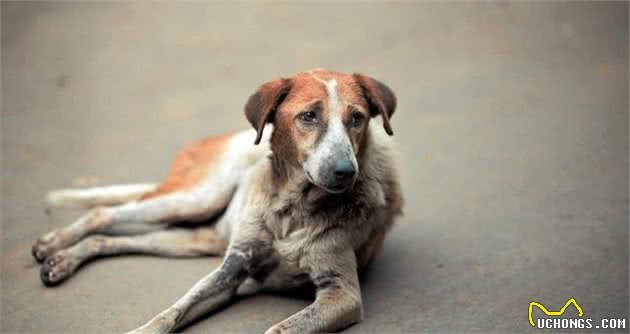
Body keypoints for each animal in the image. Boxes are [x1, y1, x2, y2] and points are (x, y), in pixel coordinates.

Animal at [32, 69, 404, 332]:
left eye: (356, 118)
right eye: (309, 116)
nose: (346, 172)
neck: (291, 207)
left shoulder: (341, 293)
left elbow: (279, 330)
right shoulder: (231, 268)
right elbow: (172, 311)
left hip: (196, 238)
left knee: (109, 238)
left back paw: (62, 259)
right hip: (195, 200)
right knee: (102, 214)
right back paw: (54, 244)